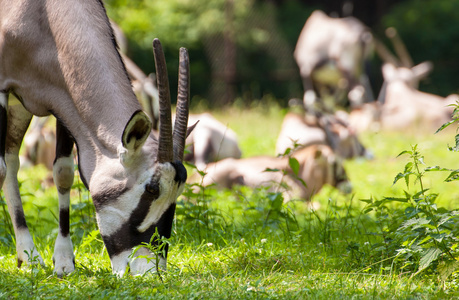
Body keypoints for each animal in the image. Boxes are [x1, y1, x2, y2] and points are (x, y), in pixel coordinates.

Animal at [0, 0, 190, 276]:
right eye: (152, 189)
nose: (150, 271)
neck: (43, 14)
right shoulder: (3, 89)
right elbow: (0, 170)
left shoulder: (64, 103)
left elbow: (63, 173)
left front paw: (64, 261)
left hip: (21, 107)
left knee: (12, 160)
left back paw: (28, 257)